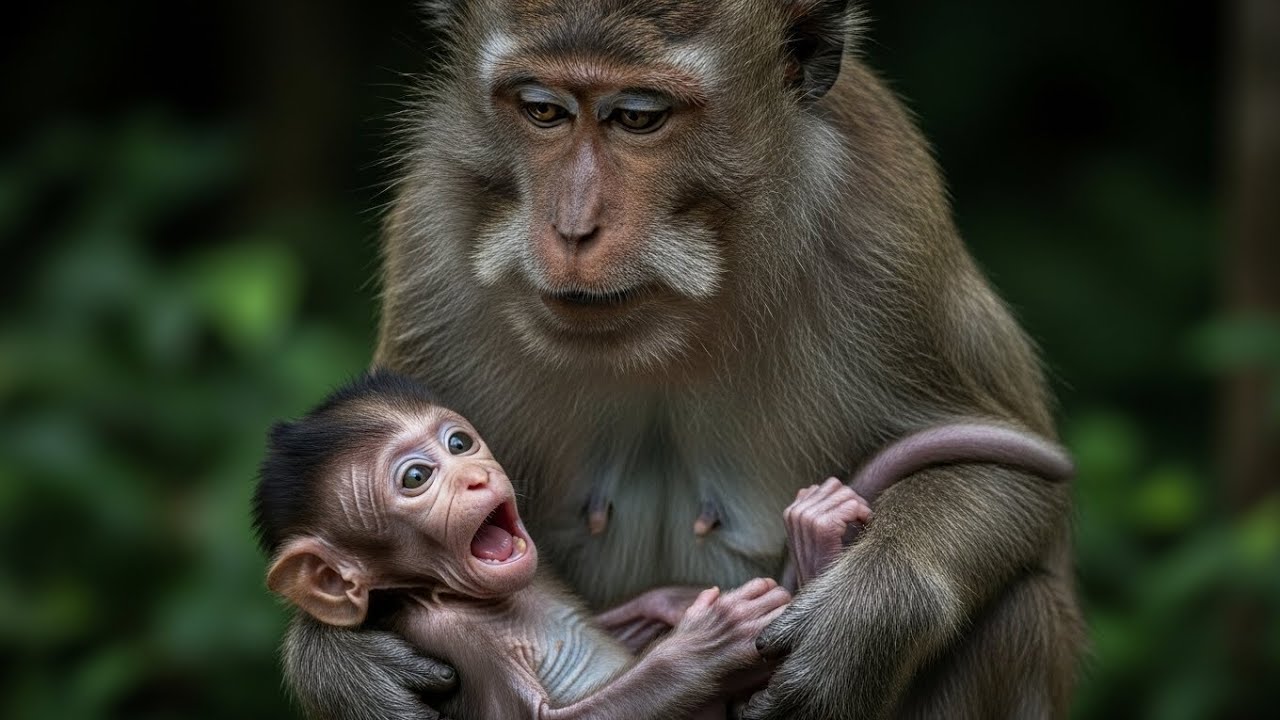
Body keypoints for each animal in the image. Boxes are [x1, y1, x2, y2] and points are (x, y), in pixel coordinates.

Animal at [253, 370, 793, 719]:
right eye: (415, 478)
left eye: (459, 444)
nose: (475, 477)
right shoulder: (450, 637)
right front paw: (708, 638)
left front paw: (673, 603)